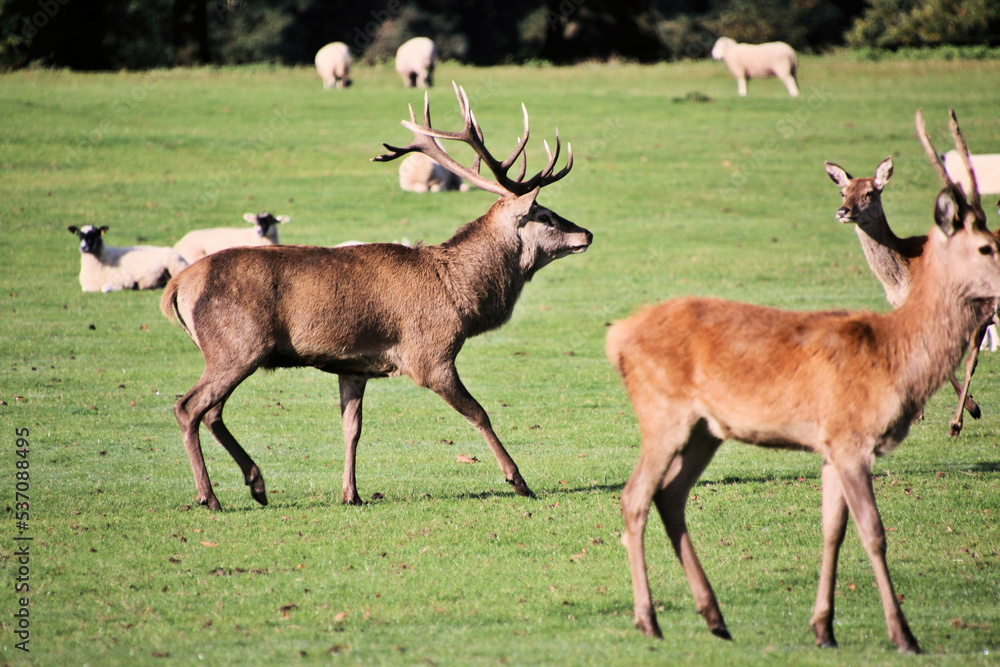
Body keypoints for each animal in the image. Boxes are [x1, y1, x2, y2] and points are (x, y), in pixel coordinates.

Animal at [160, 82, 592, 511]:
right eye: (546, 216)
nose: (587, 233)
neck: (462, 296)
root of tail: (177, 287)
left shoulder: (353, 365)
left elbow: (352, 427)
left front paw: (350, 493)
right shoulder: (430, 355)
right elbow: (479, 413)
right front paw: (518, 480)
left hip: (230, 351)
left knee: (212, 412)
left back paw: (256, 483)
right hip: (237, 346)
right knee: (189, 407)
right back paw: (210, 496)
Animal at [823, 155, 987, 434]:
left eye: (869, 193)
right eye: (843, 192)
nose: (843, 211)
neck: (902, 276)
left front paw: (972, 408)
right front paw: (917, 414)